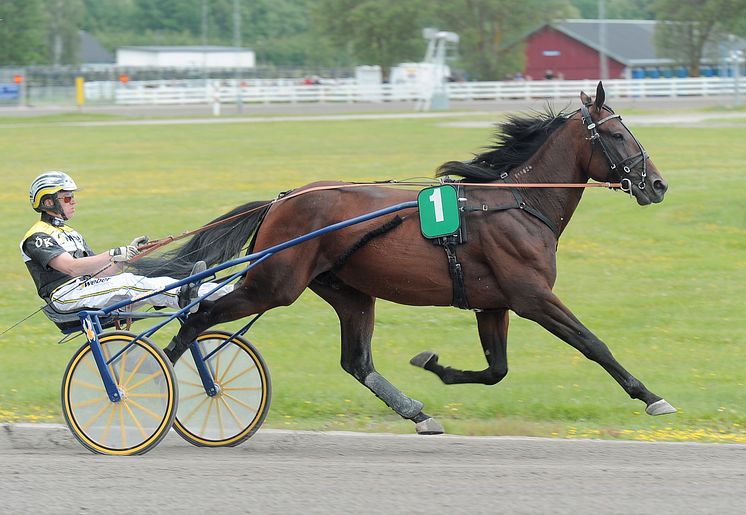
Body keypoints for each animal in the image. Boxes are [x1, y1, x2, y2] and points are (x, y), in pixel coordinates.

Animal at [134, 81, 676, 436]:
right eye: (618, 134)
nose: (656, 184)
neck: (519, 202)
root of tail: (280, 201)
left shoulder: (493, 303)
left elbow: (496, 370)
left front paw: (433, 364)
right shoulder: (532, 296)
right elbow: (593, 344)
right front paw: (652, 397)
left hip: (348, 291)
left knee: (356, 361)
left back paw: (417, 413)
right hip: (274, 284)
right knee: (197, 316)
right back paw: (151, 383)